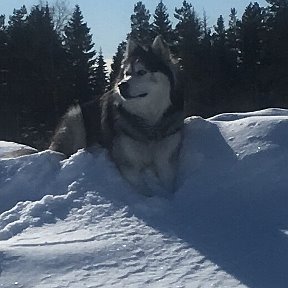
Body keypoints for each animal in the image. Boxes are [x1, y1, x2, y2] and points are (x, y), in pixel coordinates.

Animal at [49, 36, 184, 194]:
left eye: (141, 72)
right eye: (126, 73)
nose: (121, 85)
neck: (149, 123)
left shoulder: (166, 160)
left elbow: (168, 186)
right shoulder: (129, 166)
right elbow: (143, 191)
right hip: (76, 120)